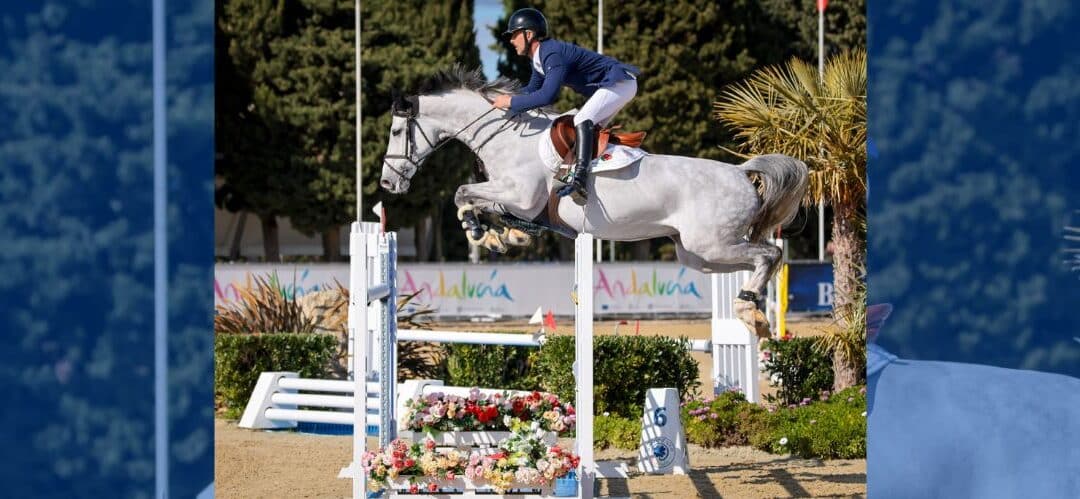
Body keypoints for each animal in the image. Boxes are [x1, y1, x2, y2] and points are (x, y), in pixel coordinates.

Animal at [384, 67, 807, 319]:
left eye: (396, 131)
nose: (388, 184)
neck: (507, 137)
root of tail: (740, 172)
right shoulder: (518, 201)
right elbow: (478, 201)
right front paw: (503, 235)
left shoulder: (523, 197)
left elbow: (463, 193)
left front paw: (480, 232)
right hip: (699, 254)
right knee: (757, 261)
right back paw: (752, 305)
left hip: (714, 244)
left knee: (771, 254)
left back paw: (749, 308)